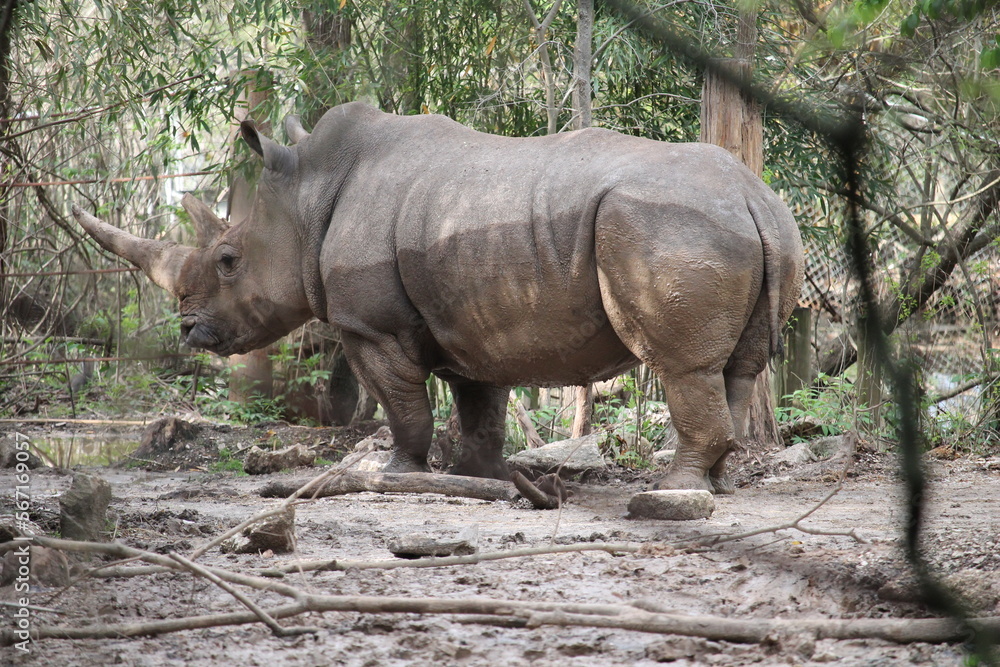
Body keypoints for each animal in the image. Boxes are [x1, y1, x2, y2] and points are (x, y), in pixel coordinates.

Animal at [74, 101, 803, 493]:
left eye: (228, 261)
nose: (187, 328)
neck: (307, 197)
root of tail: (754, 197)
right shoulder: (476, 320)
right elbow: (480, 406)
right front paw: (485, 477)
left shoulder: (370, 324)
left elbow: (404, 405)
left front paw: (393, 471)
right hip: (753, 226)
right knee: (736, 368)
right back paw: (715, 482)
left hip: (667, 226)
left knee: (683, 366)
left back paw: (676, 491)